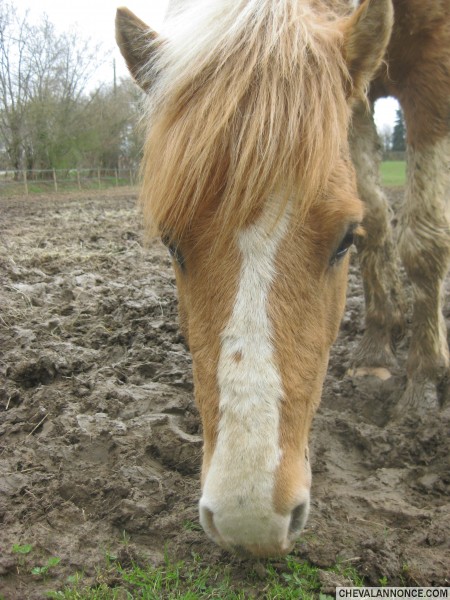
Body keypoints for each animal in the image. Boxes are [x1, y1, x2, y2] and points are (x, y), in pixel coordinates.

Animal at [116, 0, 450, 556]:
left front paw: (423, 386)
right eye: (171, 243)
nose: (249, 520)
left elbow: (424, 240)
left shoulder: (432, 60)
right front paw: (377, 349)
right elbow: (378, 216)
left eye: (343, 239)